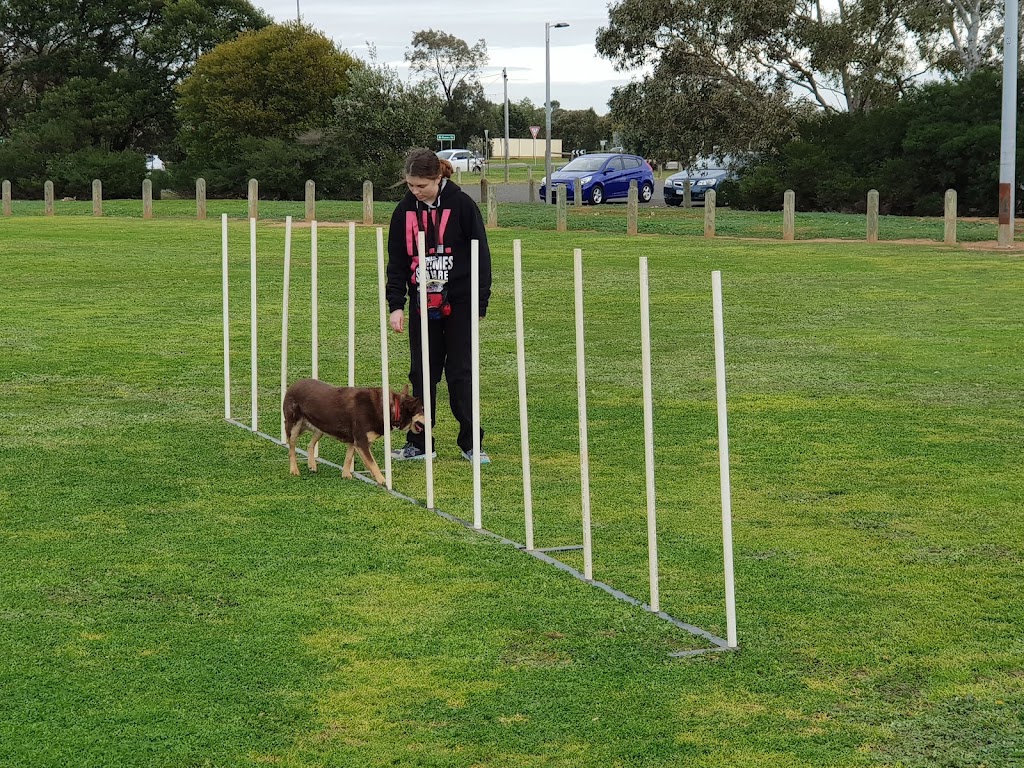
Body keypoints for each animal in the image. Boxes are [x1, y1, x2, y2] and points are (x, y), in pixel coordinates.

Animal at [280, 380, 423, 483]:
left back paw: (312, 465)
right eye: (422, 410)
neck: (390, 409)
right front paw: (383, 481)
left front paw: (346, 474)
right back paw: (294, 470)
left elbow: (349, 458)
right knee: (291, 449)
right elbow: (373, 464)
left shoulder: (353, 441)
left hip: (321, 426)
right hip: (294, 426)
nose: (431, 418)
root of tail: (293, 385)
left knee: (310, 444)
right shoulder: (361, 442)